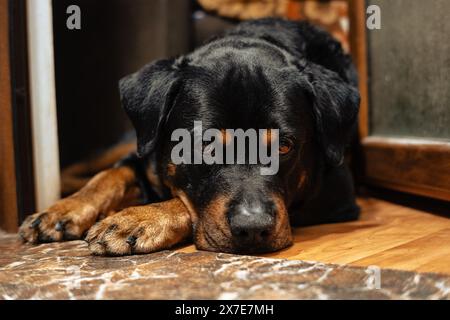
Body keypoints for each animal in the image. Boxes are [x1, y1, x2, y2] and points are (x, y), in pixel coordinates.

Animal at [19, 18, 360, 256]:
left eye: (284, 146)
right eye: (206, 145)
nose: (253, 229)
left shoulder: (337, 192)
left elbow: (180, 202)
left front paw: (135, 219)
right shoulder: (146, 151)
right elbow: (111, 175)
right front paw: (62, 210)